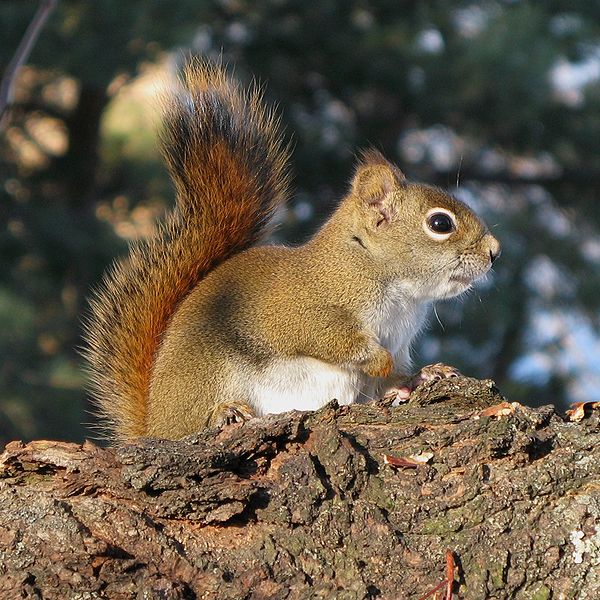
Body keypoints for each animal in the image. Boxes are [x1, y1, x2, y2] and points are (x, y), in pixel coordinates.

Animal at [82, 61, 500, 442]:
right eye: (440, 224)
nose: (495, 251)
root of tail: (151, 426)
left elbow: (391, 378)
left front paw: (424, 375)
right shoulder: (303, 309)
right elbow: (332, 340)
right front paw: (379, 360)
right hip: (206, 374)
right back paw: (223, 412)